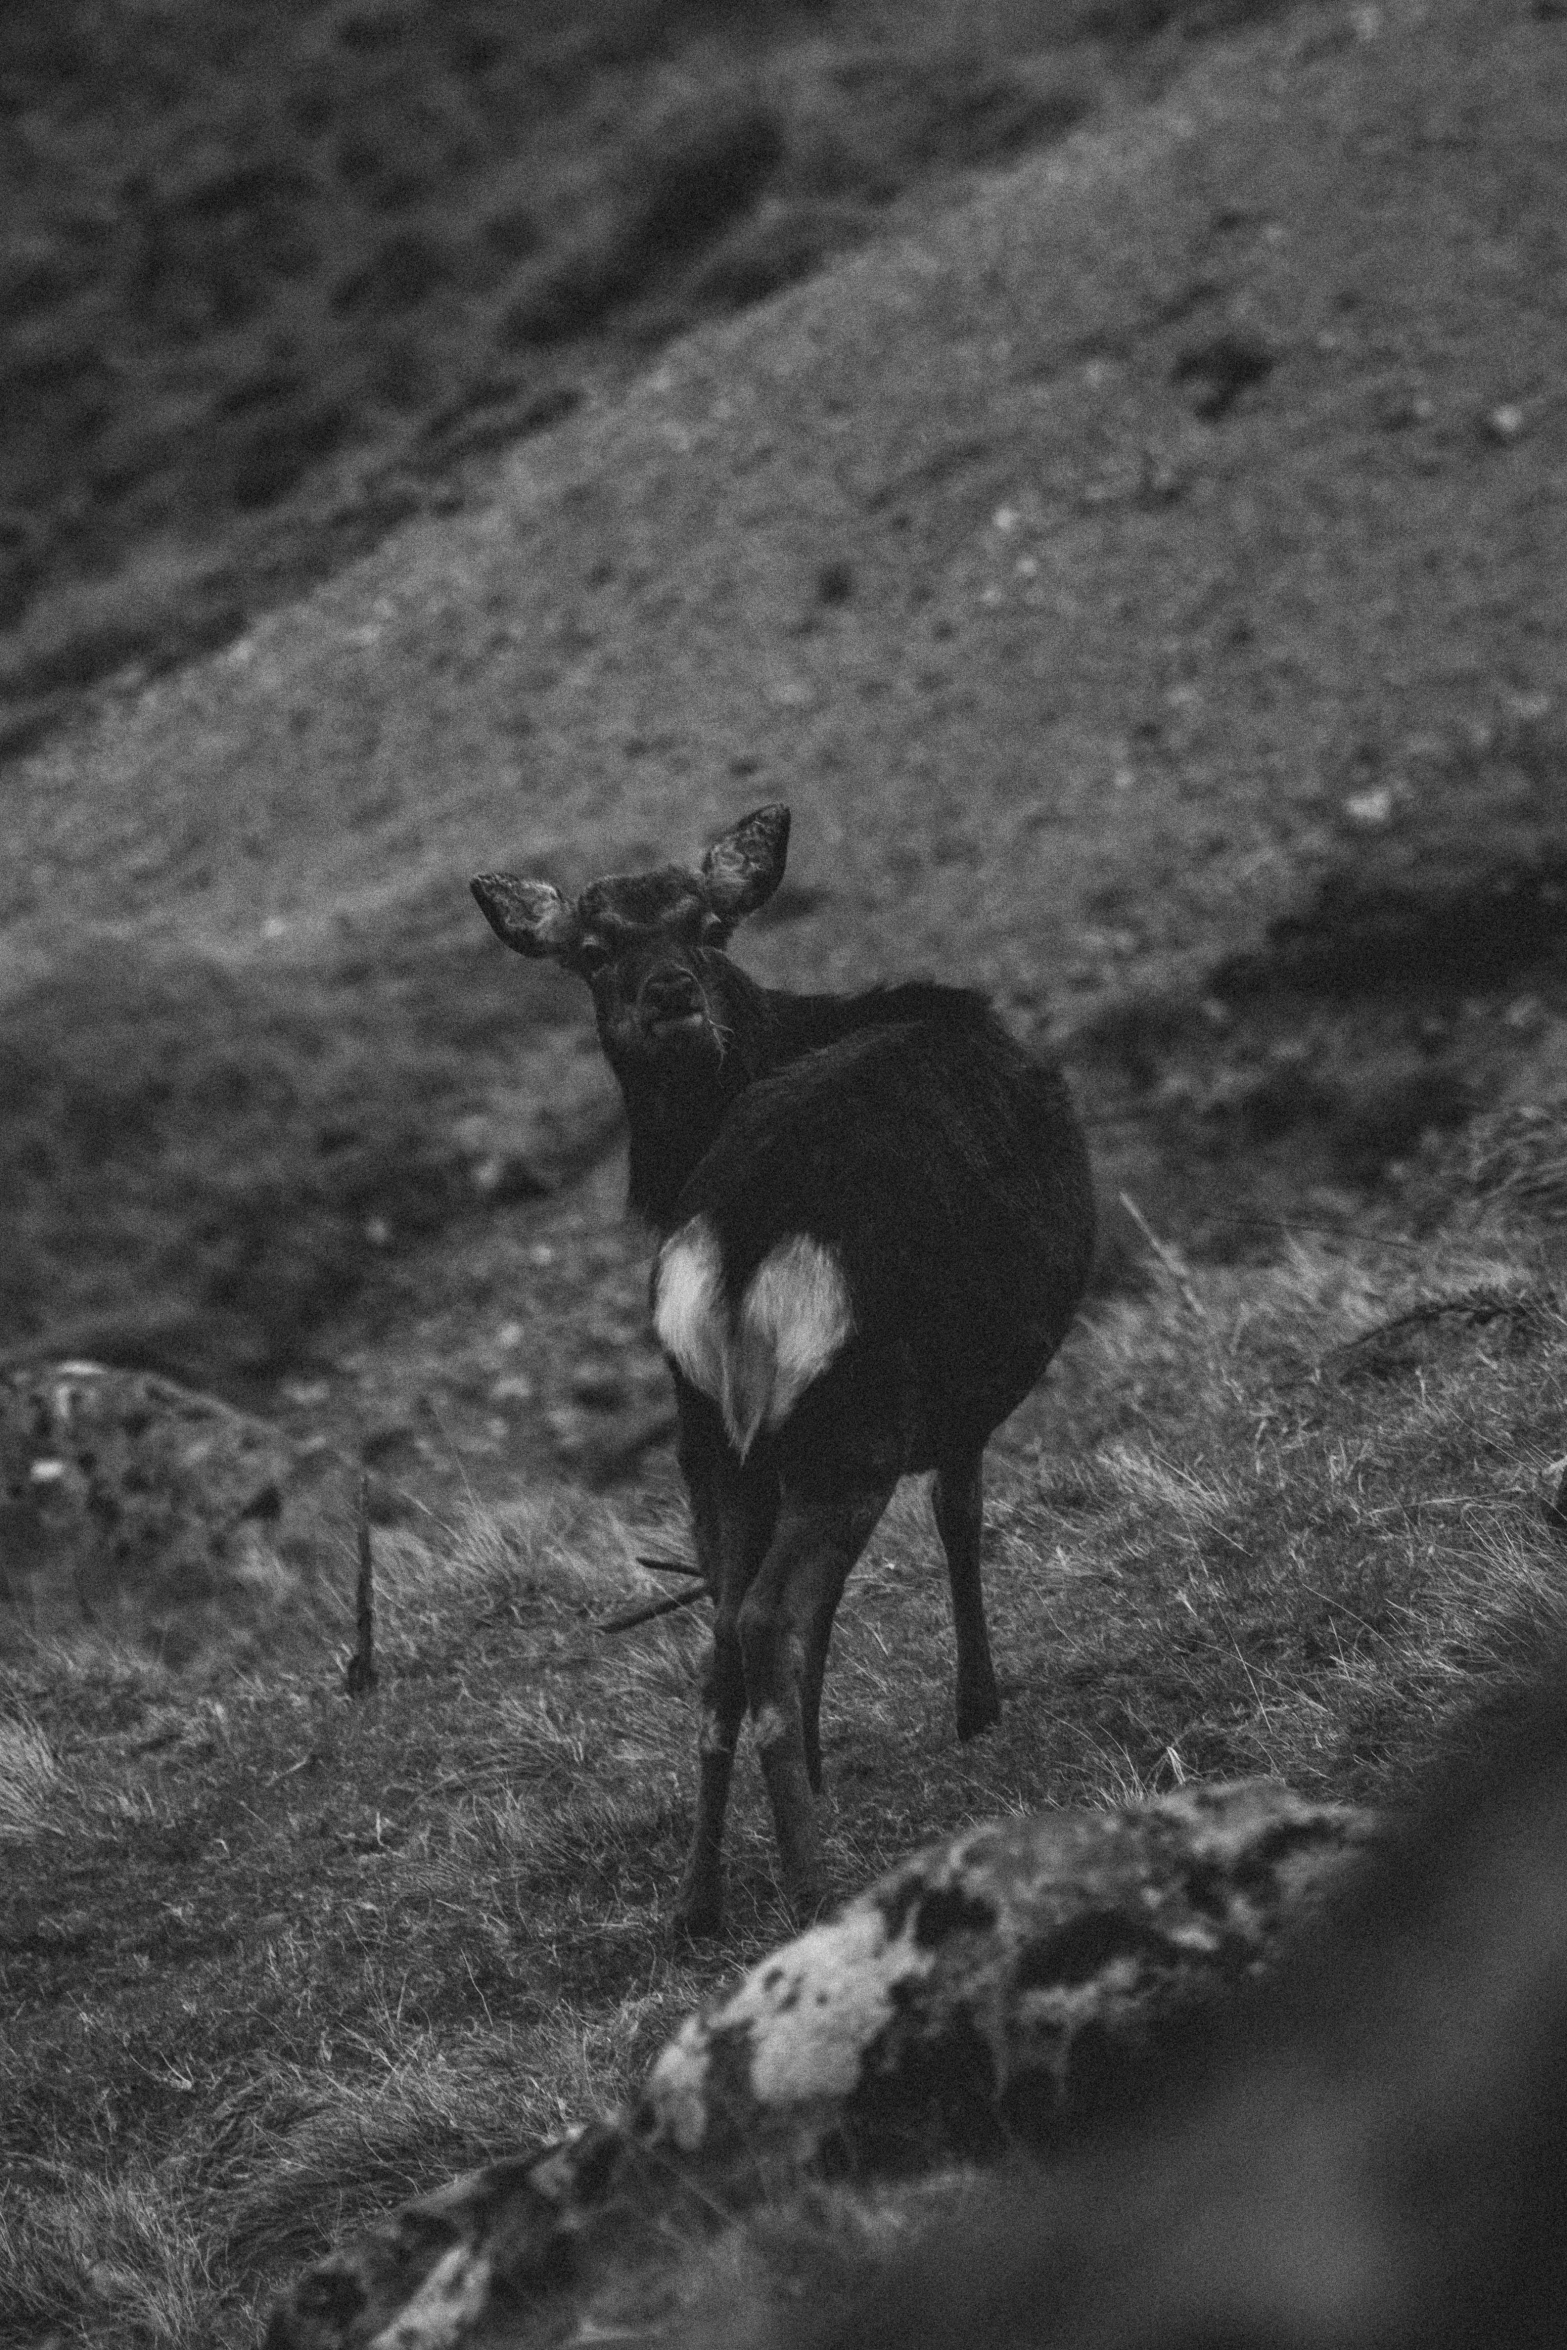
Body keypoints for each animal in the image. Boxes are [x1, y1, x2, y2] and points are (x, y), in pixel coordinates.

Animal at [472, 808, 1099, 1926]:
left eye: (710, 923)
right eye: (590, 949)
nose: (670, 995)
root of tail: (740, 1247)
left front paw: (819, 1761)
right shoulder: (954, 1400)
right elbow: (960, 1521)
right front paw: (976, 1708)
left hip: (708, 1434)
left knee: (723, 1632)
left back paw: (696, 1903)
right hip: (849, 1421)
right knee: (768, 1619)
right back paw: (813, 1885)